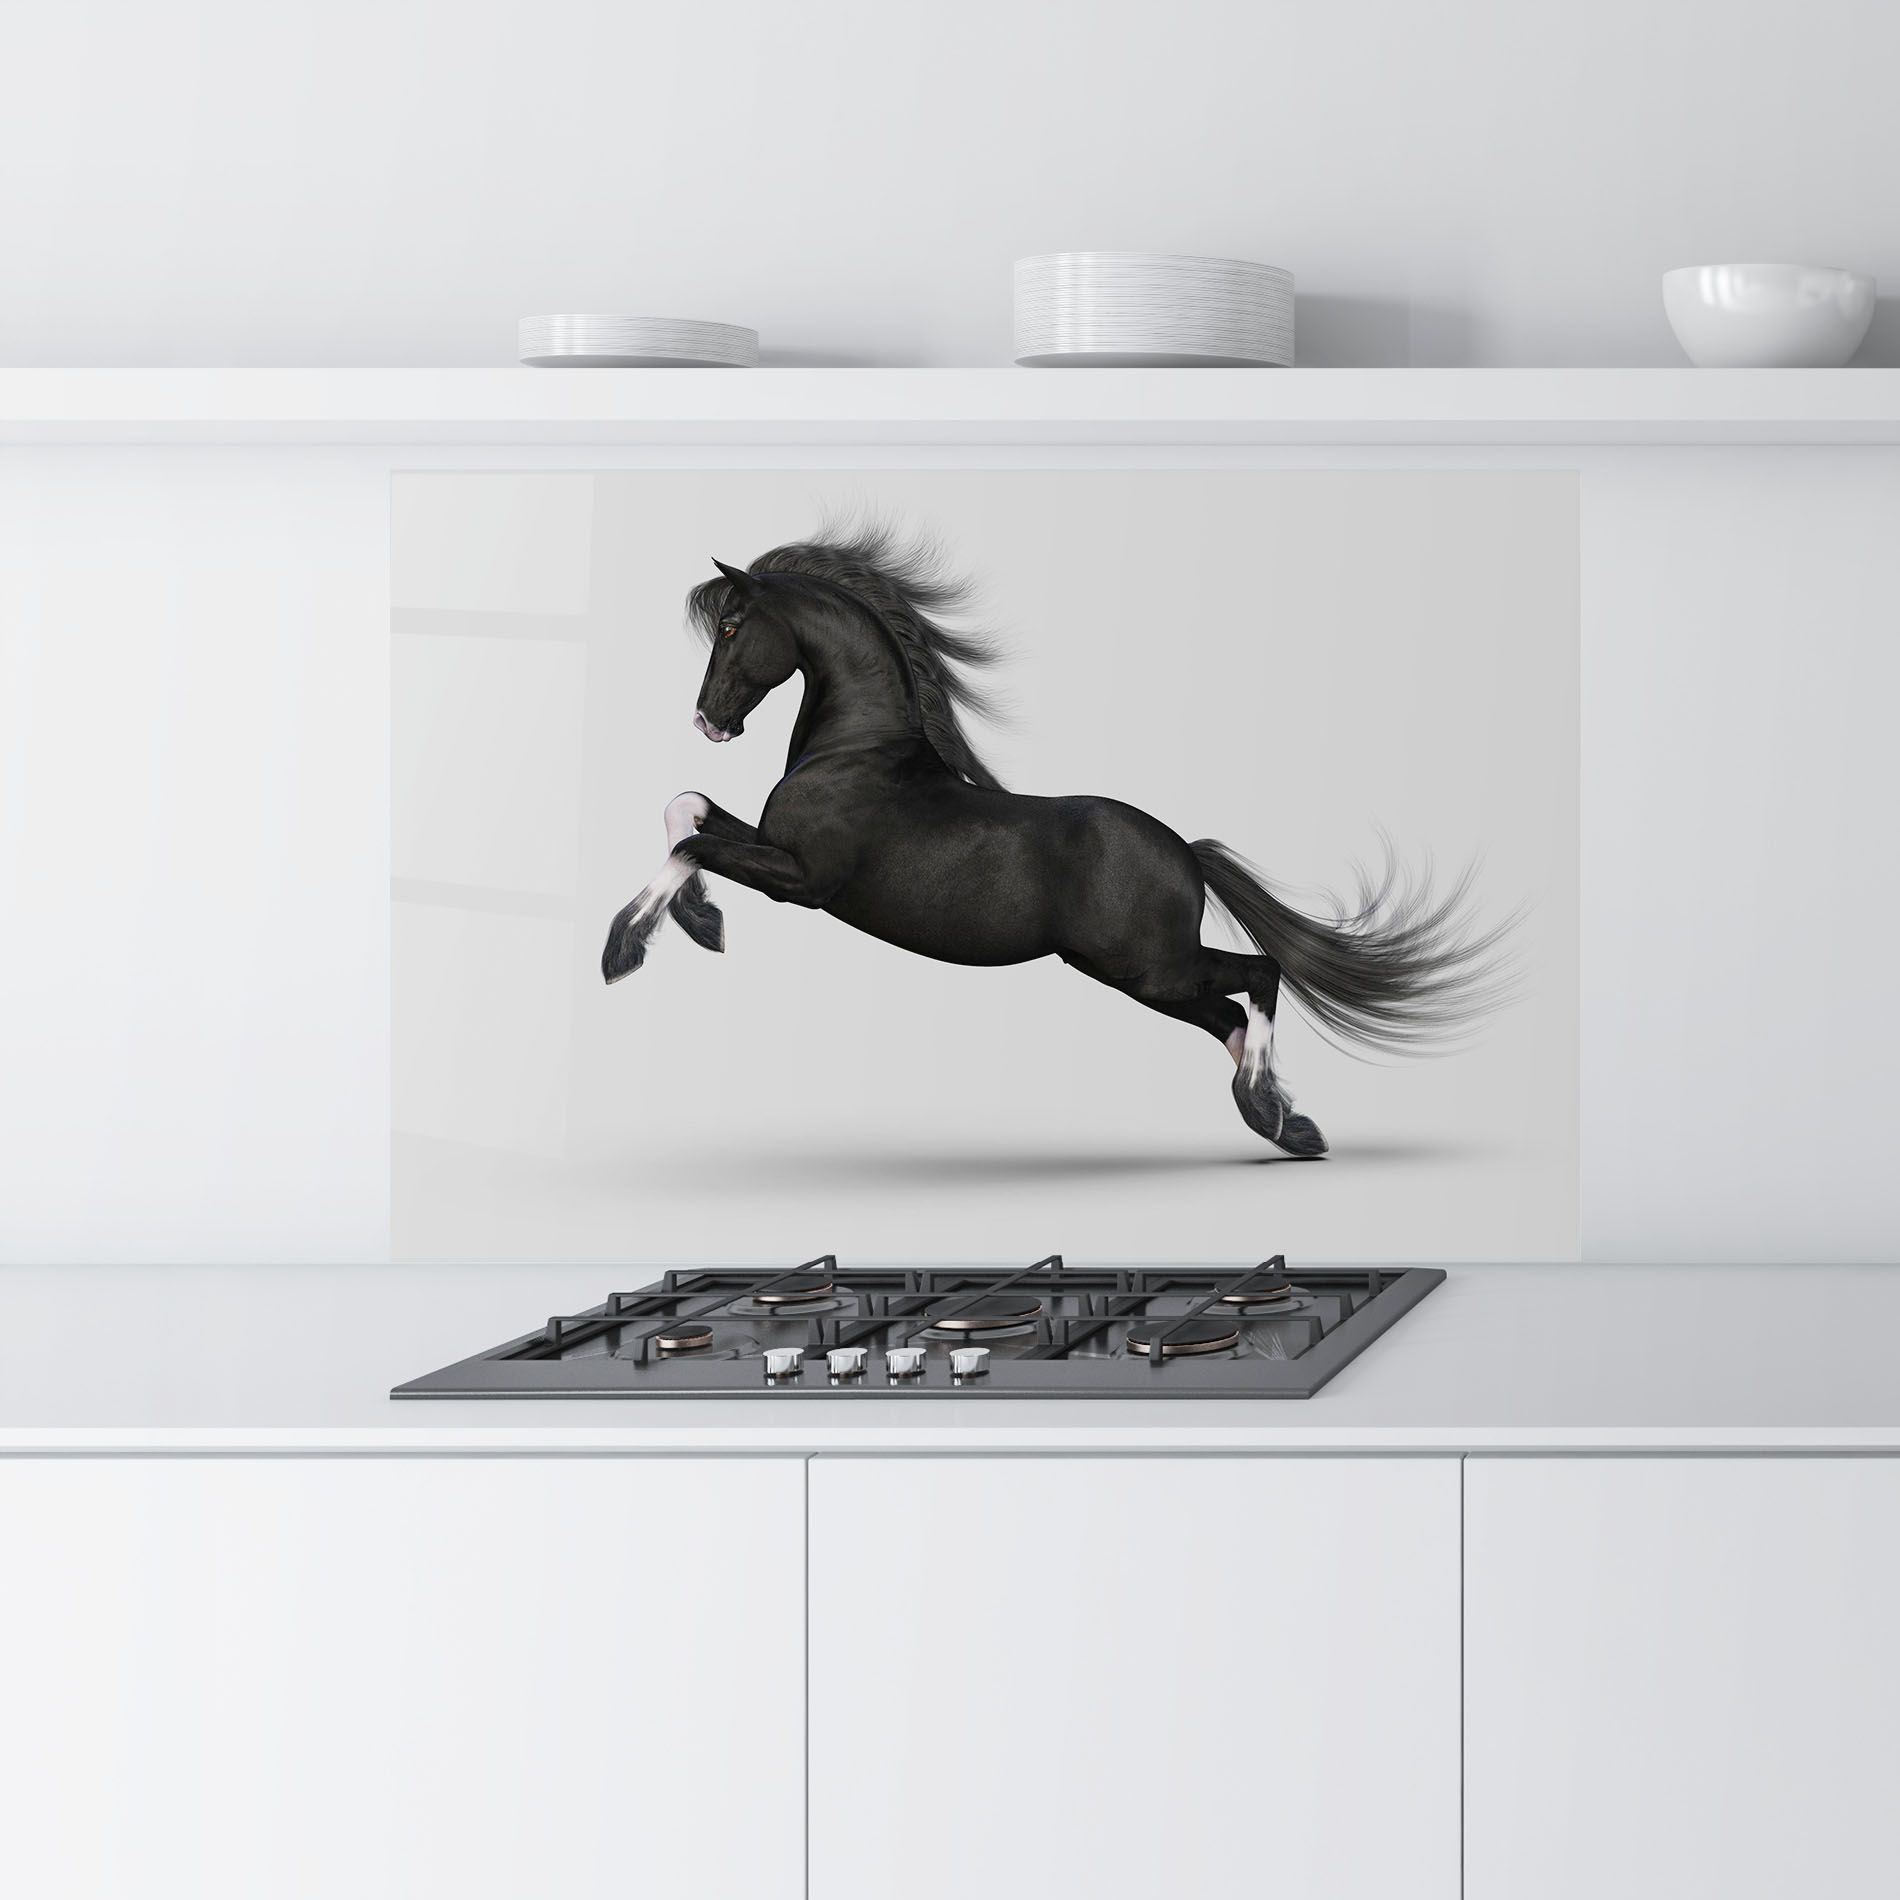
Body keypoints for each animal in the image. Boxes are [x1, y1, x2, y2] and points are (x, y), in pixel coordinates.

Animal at [601, 528, 1512, 1157]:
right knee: (1227, 1014)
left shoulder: (802, 879)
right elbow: (684, 809)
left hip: (1146, 967)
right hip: (1142, 976)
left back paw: (1270, 1111)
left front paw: (630, 948)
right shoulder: (775, 852)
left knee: (1259, 977)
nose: (708, 722)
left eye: (732, 625)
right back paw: (1289, 1124)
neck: (860, 751)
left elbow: (689, 842)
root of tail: (1185, 851)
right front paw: (701, 921)